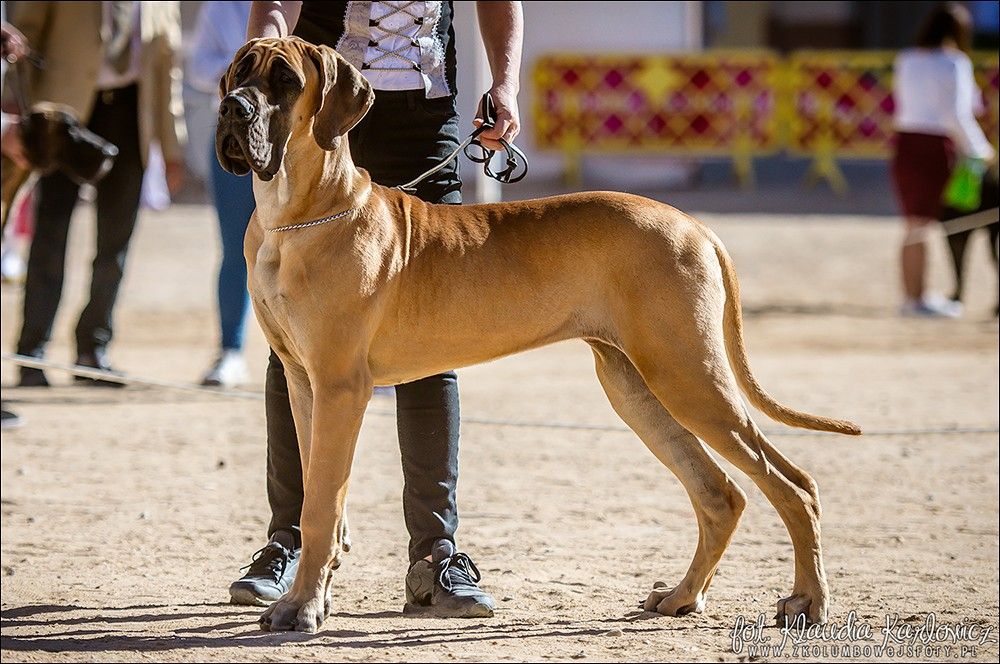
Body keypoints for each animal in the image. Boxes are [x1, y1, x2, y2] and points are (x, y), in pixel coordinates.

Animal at [216, 36, 861, 633]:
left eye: (285, 80)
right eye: (240, 71)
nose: (231, 108)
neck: (296, 217)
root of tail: (695, 225)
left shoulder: (340, 386)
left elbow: (322, 504)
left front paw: (302, 609)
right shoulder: (303, 382)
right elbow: (318, 494)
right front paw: (314, 591)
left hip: (688, 376)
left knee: (794, 485)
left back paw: (808, 602)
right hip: (636, 387)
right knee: (719, 493)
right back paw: (682, 597)